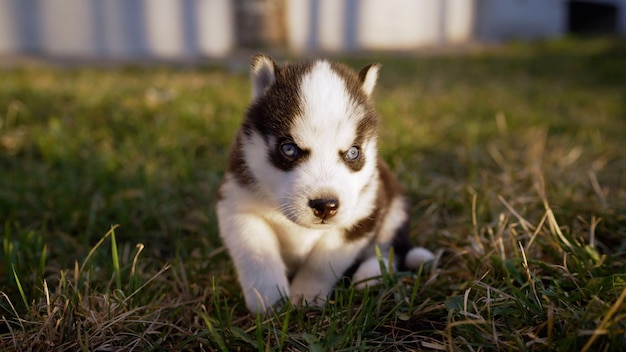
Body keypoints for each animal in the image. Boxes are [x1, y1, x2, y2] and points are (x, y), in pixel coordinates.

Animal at [217, 53, 432, 312]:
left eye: (353, 153)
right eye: (288, 149)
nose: (325, 206)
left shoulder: (361, 216)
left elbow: (322, 262)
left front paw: (306, 295)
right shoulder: (237, 207)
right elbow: (257, 255)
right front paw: (268, 300)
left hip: (395, 208)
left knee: (392, 249)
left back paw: (370, 276)